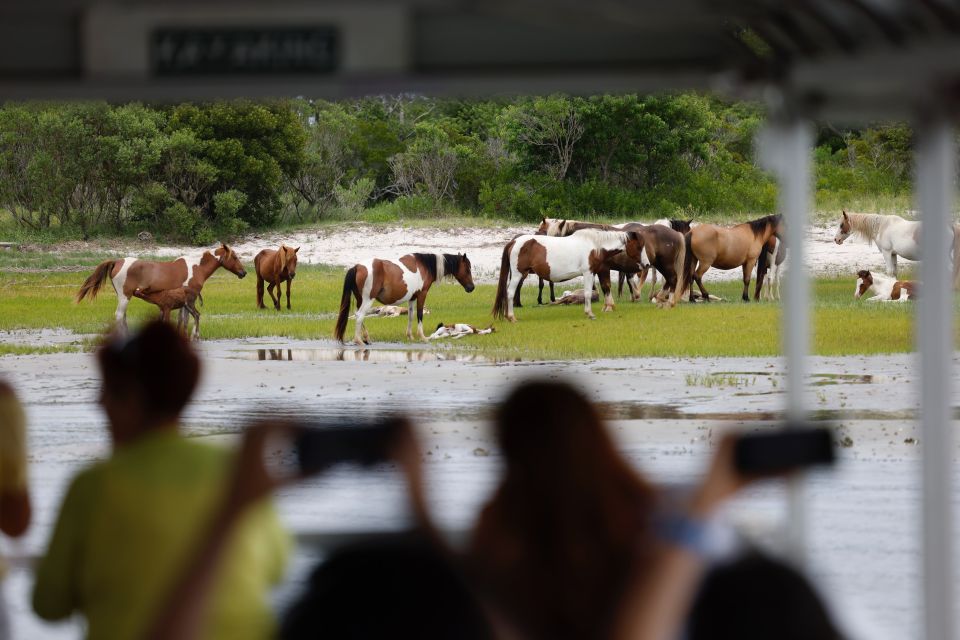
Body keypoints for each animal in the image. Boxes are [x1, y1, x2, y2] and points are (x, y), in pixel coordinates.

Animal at [76, 244, 248, 336]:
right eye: (235, 257)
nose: (244, 273)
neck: (196, 267)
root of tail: (117, 261)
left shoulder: (182, 302)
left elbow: (181, 320)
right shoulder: (188, 301)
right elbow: (186, 320)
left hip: (123, 297)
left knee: (122, 318)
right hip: (125, 296)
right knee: (119, 316)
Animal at [334, 251, 476, 344]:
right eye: (467, 269)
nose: (471, 287)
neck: (424, 265)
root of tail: (357, 267)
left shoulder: (412, 298)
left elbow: (411, 316)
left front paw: (410, 336)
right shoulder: (422, 294)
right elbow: (419, 315)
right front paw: (422, 337)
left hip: (360, 300)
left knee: (359, 315)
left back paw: (366, 338)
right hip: (368, 300)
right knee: (359, 316)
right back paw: (359, 341)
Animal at [492, 228, 640, 322]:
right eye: (638, 246)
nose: (641, 266)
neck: (594, 245)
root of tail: (514, 241)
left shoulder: (593, 273)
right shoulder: (588, 273)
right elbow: (587, 293)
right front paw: (590, 314)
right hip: (518, 275)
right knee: (510, 293)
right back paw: (511, 317)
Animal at [832, 210, 960, 284]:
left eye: (841, 224)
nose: (836, 240)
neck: (882, 226)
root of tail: (950, 225)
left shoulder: (887, 253)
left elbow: (889, 271)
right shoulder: (893, 254)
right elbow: (894, 272)